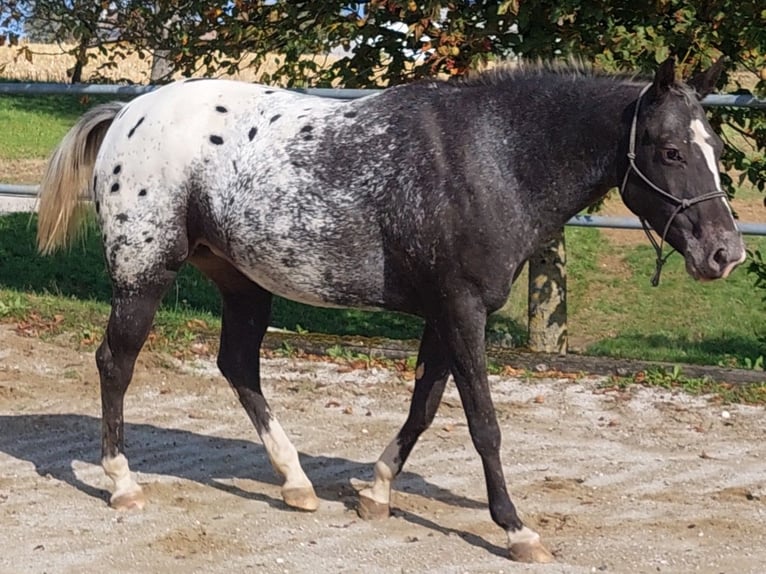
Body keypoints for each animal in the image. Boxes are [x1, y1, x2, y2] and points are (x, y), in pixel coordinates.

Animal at [34, 57, 744, 564]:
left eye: (714, 147)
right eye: (670, 150)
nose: (726, 253)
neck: (495, 155)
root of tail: (129, 112)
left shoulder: (444, 314)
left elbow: (424, 407)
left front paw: (375, 493)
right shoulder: (462, 310)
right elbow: (483, 422)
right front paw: (516, 530)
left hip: (241, 282)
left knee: (237, 366)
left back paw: (297, 485)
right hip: (144, 274)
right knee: (116, 363)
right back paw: (123, 484)